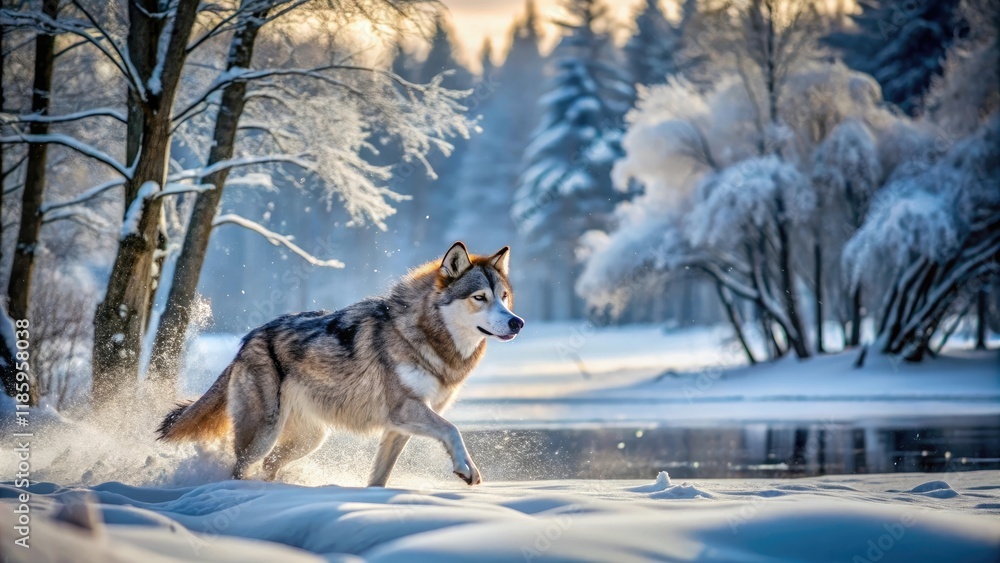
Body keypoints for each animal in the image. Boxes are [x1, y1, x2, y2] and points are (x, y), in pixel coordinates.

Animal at [156, 242, 523, 487]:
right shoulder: (405, 409)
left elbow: (379, 478)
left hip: (310, 439)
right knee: (241, 468)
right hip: (265, 434)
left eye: (504, 297)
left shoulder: (398, 427)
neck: (423, 334)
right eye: (480, 298)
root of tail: (247, 340)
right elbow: (453, 429)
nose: (517, 322)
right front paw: (467, 469)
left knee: (270, 466)